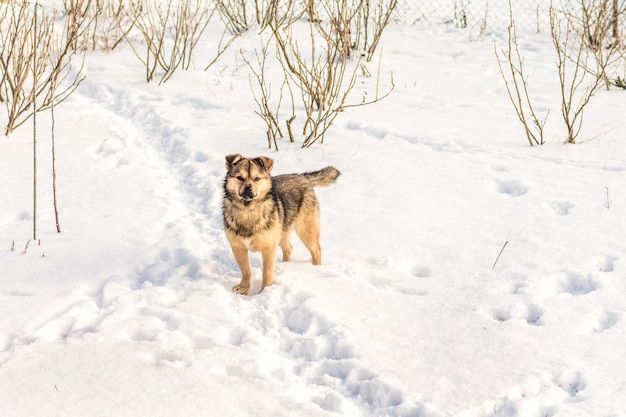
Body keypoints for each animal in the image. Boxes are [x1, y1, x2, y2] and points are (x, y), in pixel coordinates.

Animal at [222, 154, 338, 294]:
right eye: (240, 178)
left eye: (257, 178)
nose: (248, 188)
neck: (248, 210)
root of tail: (301, 176)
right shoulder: (238, 246)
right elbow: (245, 270)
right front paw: (244, 288)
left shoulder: (269, 247)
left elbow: (267, 273)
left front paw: (265, 291)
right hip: (282, 231)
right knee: (288, 248)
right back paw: (286, 264)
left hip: (306, 230)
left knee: (316, 250)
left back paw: (315, 268)